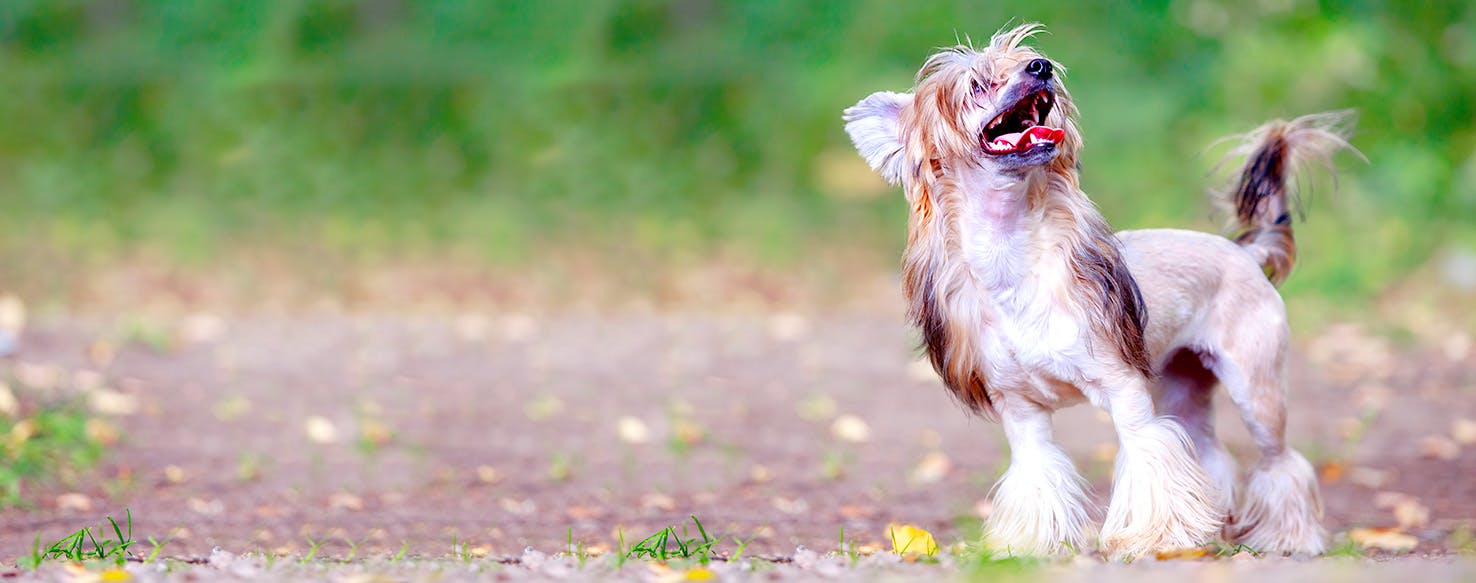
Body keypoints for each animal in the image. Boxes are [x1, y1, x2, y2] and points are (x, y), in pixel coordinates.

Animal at [844, 25, 1357, 557]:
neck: (1015, 264)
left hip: (1255, 386)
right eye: (977, 85)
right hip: (1183, 383)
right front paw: (1030, 545)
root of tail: (1246, 254)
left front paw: (1154, 536)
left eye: (1029, 59)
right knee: (1208, 451)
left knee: (1280, 460)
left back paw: (1289, 538)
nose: (1041, 67)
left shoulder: (1125, 391)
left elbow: (1148, 455)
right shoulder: (1022, 413)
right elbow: (1037, 473)